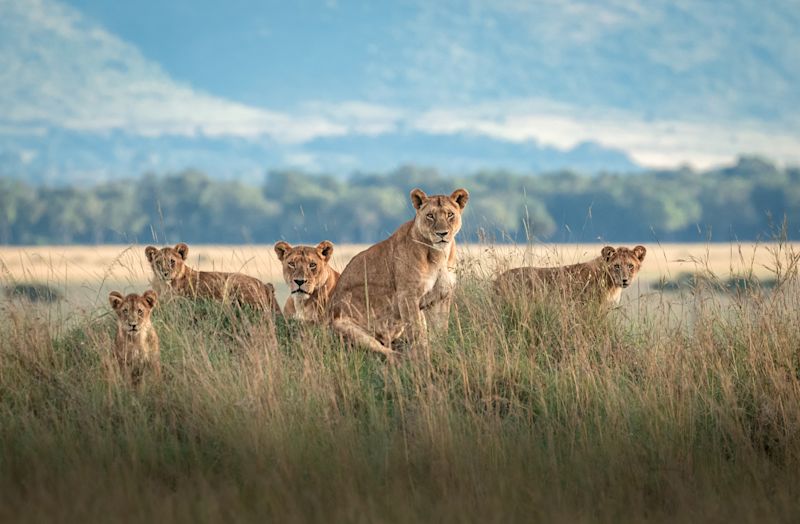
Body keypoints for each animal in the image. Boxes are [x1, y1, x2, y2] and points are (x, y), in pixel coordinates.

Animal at [145, 243, 282, 316]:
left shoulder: (178, 303)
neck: (163, 286)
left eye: (172, 261)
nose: (164, 273)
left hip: (232, 280)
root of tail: (265, 286)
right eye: (158, 262)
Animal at [328, 187, 468, 356]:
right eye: (430, 215)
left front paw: (441, 352)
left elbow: (441, 330)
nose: (442, 233)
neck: (439, 254)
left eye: (450, 214)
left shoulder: (441, 296)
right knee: (387, 353)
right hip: (346, 326)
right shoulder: (407, 295)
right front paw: (424, 355)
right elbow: (417, 331)